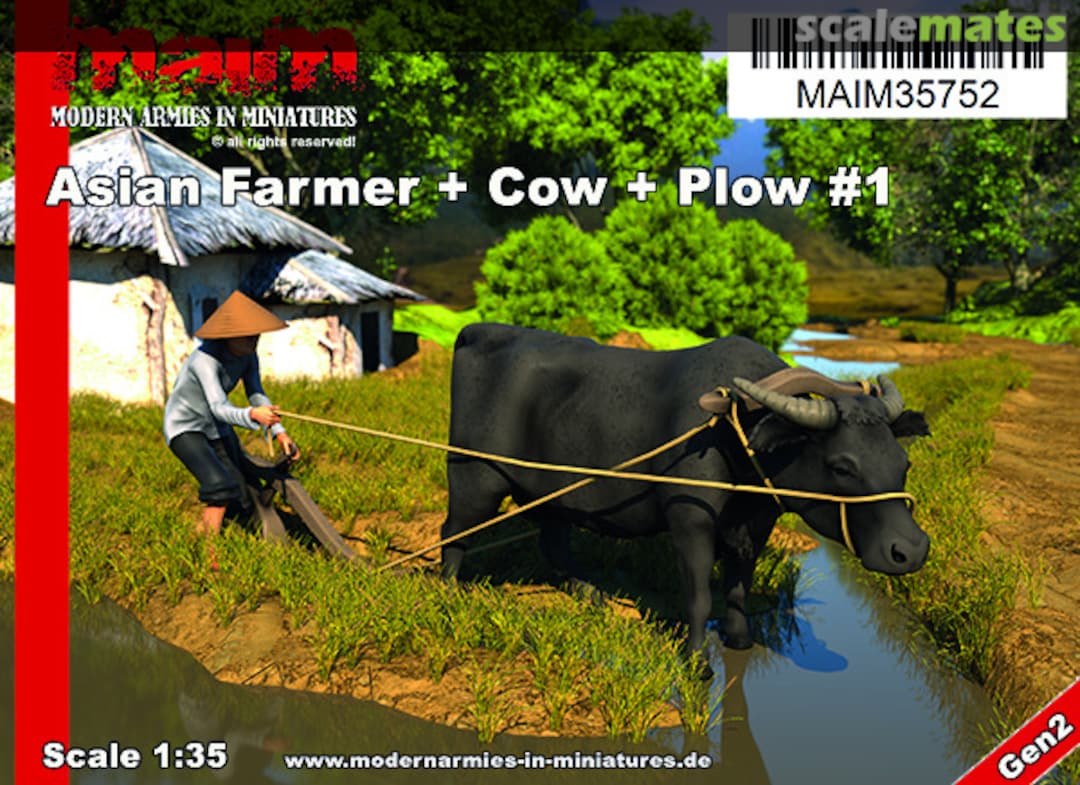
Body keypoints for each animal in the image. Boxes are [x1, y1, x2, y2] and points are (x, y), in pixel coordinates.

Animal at [440, 323, 931, 657]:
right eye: (842, 466)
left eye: (902, 462)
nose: (910, 550)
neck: (735, 429)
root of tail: (480, 332)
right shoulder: (690, 523)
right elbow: (697, 596)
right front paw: (698, 661)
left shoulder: (755, 526)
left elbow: (737, 587)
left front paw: (739, 640)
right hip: (474, 478)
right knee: (454, 531)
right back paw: (448, 590)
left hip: (558, 493)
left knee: (554, 539)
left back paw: (589, 592)